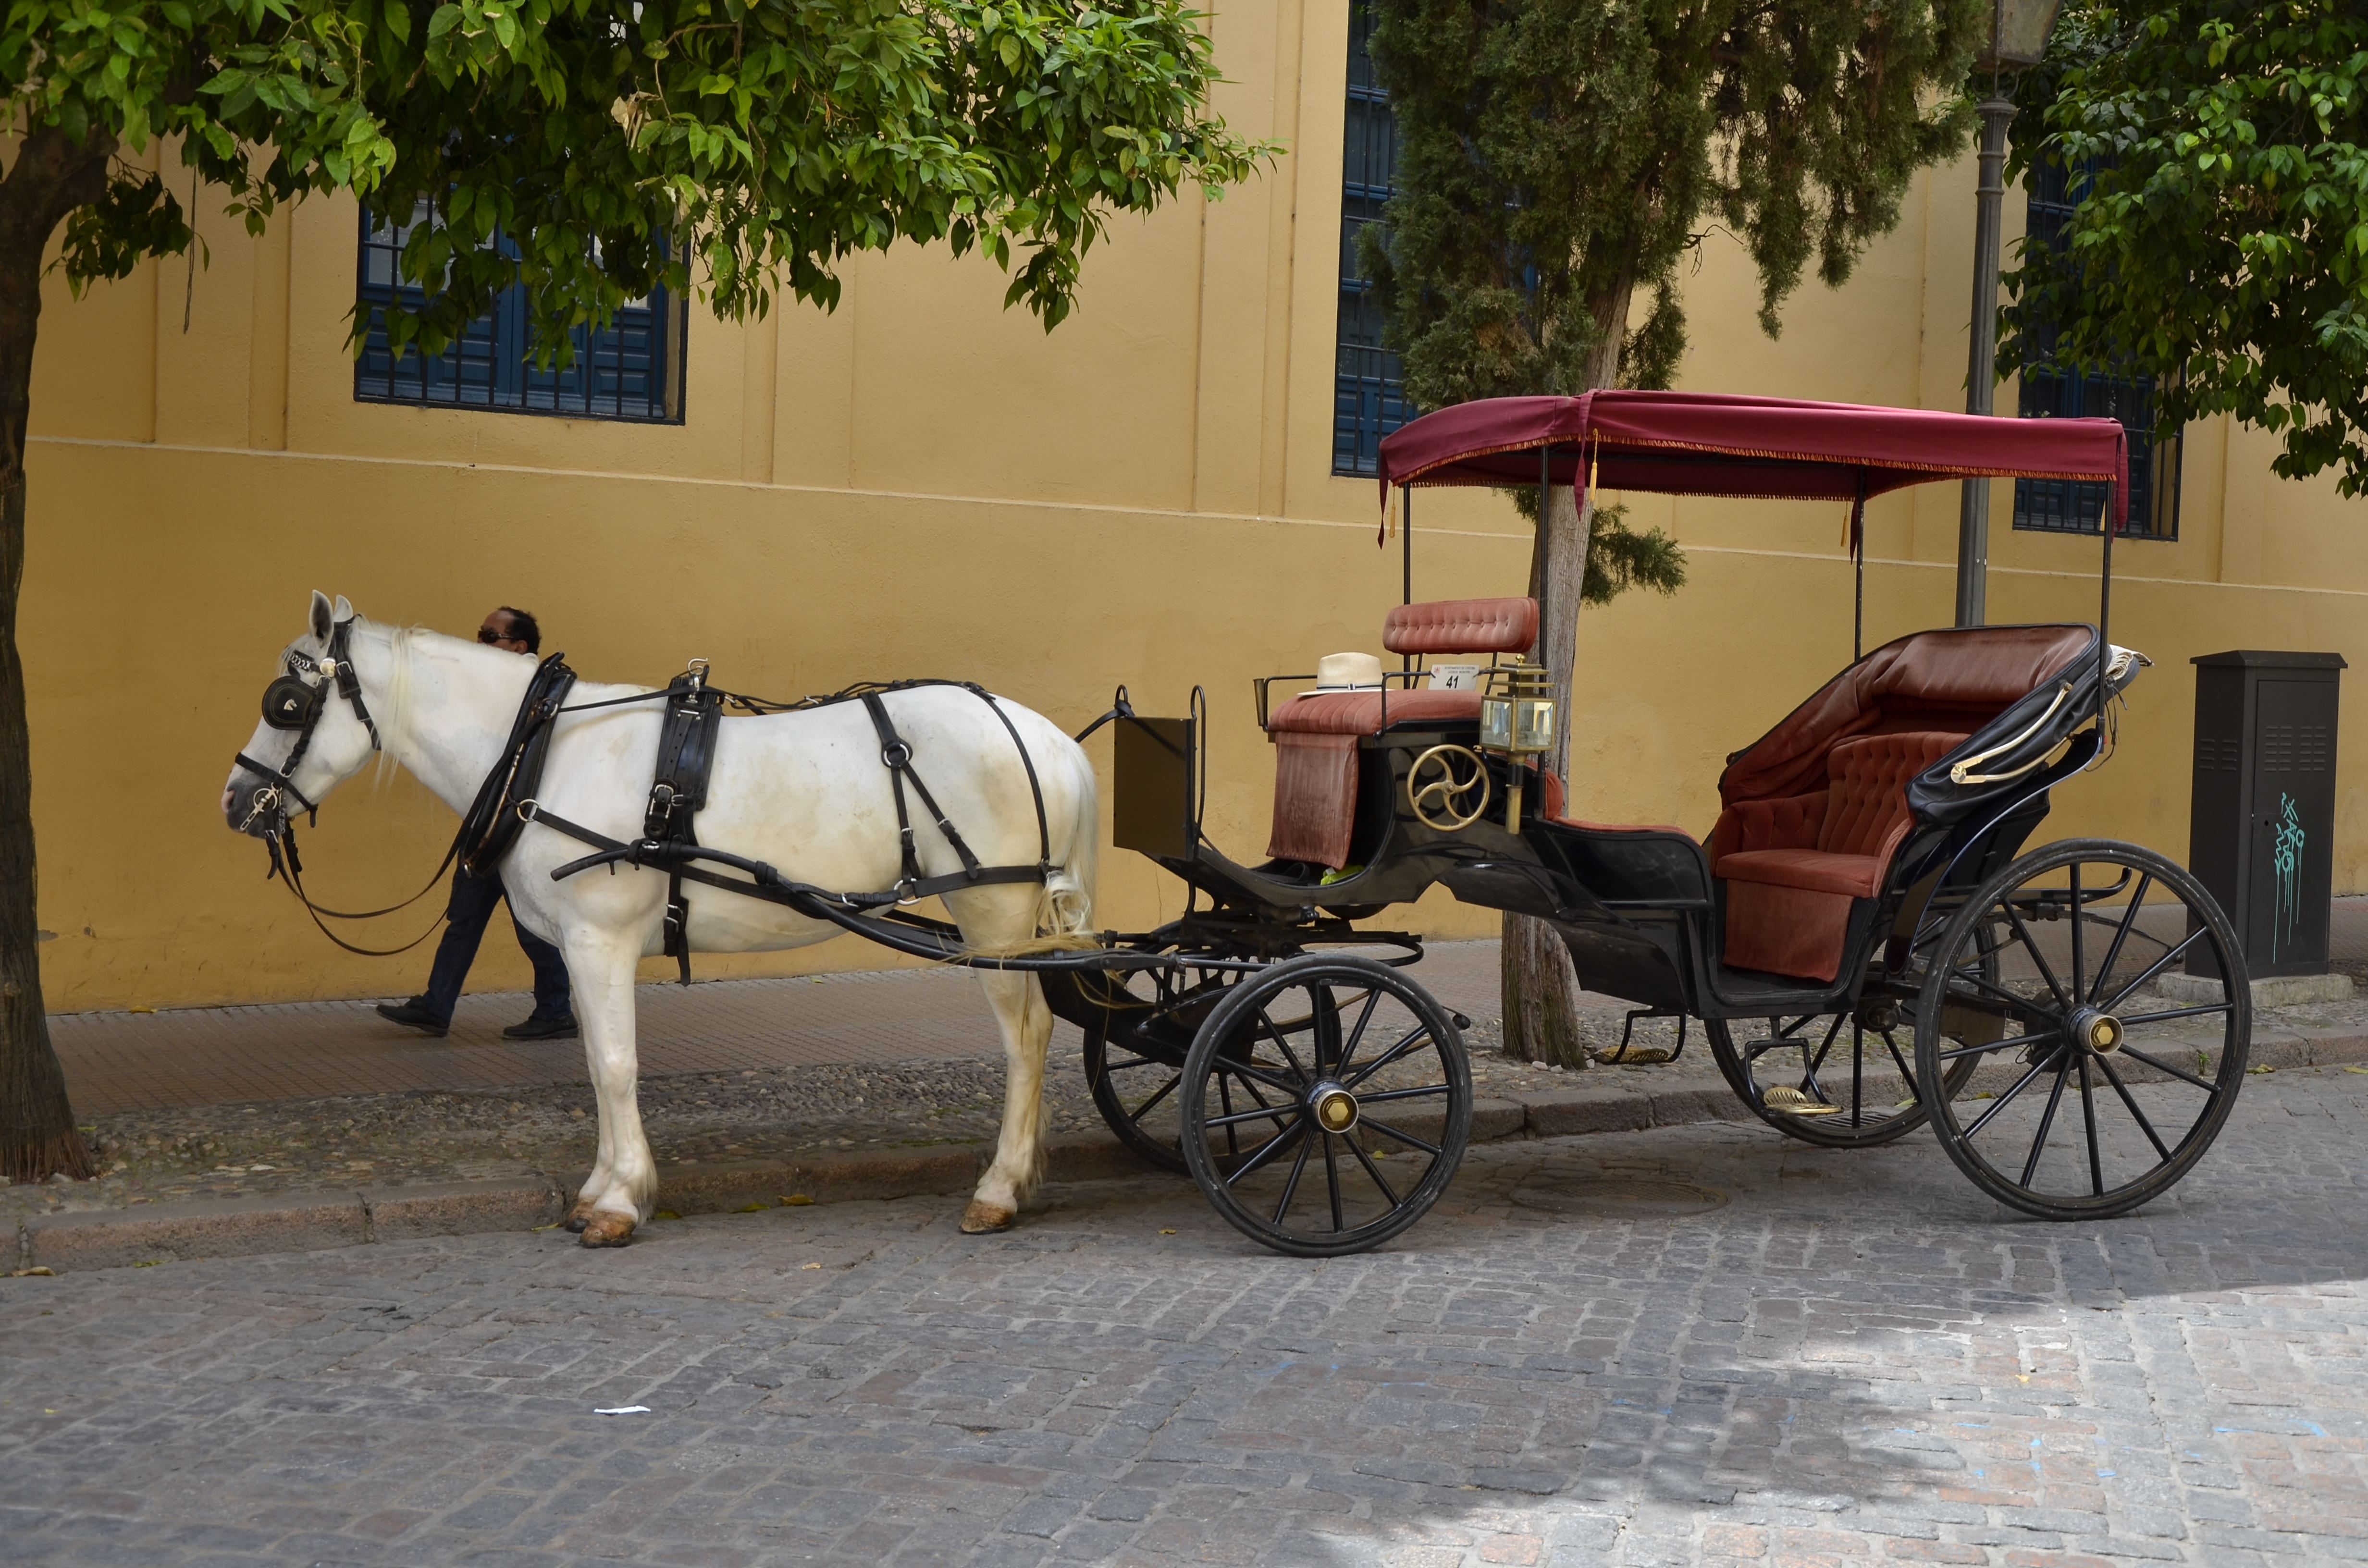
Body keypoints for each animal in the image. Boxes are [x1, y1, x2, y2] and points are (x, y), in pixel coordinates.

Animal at [221, 592, 1099, 1247]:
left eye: (287, 703)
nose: (236, 800)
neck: (541, 752)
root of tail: (1046, 736)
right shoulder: (579, 951)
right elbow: (595, 1064)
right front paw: (602, 1187)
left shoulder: (597, 939)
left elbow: (614, 1065)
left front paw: (617, 1203)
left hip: (990, 908)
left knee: (1025, 1035)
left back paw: (999, 1187)